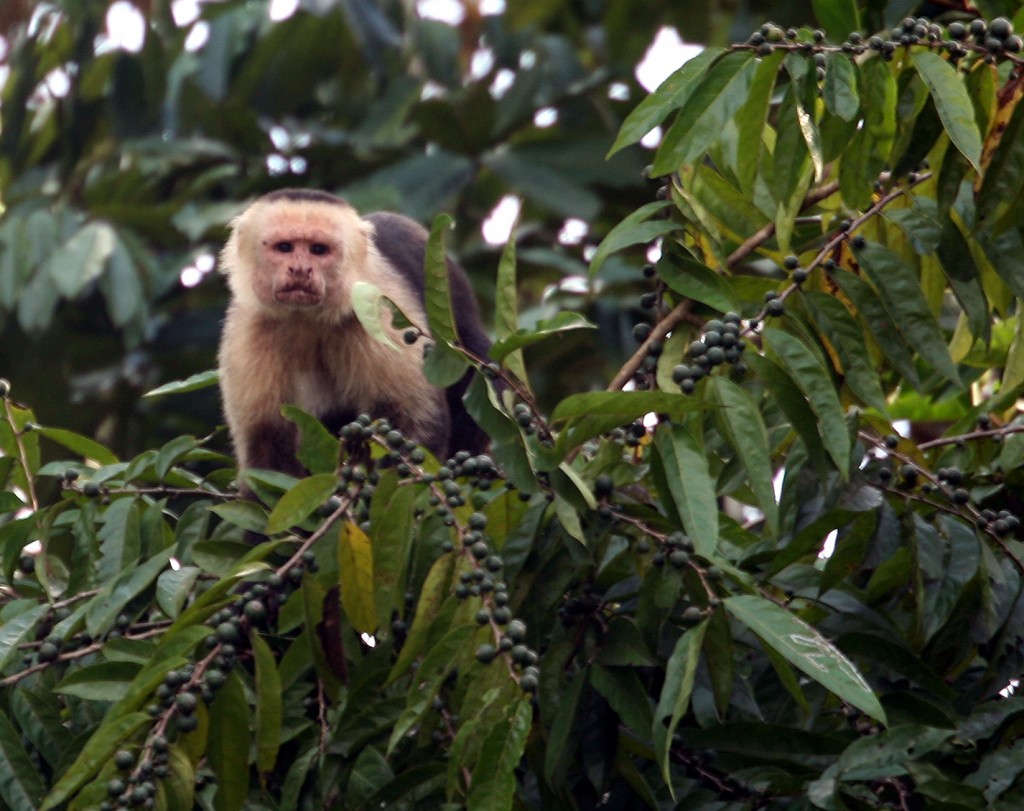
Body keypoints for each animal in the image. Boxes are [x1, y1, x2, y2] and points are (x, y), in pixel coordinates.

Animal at [218, 187, 489, 485]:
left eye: (318, 250)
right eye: (285, 247)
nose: (300, 270)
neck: (307, 318)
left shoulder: (375, 305)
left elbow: (414, 420)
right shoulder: (250, 328)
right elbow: (264, 443)